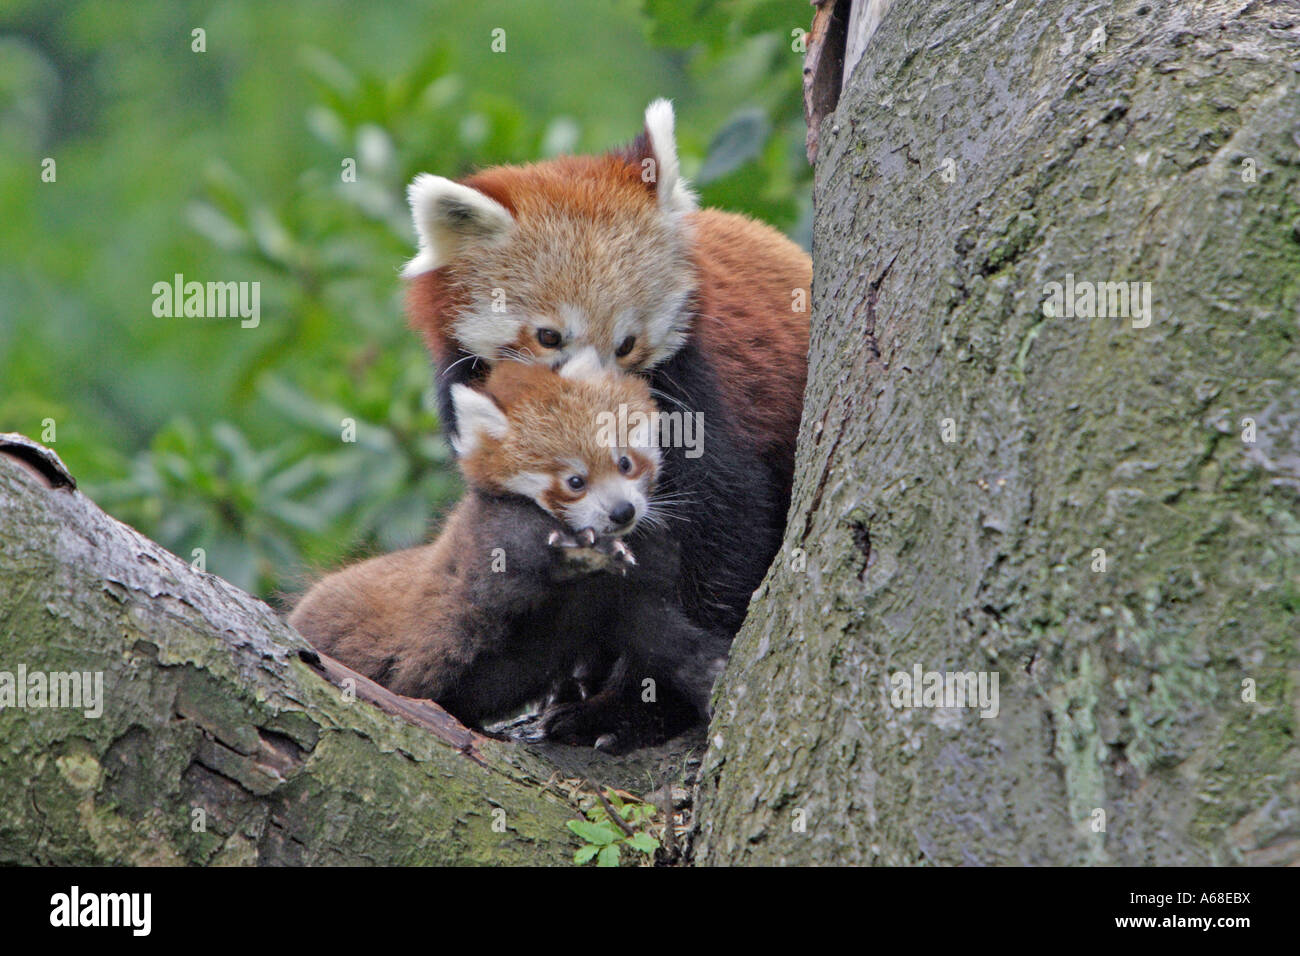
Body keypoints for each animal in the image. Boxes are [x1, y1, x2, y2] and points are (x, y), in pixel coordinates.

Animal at [288, 356, 728, 738]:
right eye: (575, 481)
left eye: (625, 463)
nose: (622, 511)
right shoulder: (482, 547)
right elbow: (500, 578)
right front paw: (574, 551)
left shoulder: (621, 593)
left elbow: (660, 635)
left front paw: (710, 669)